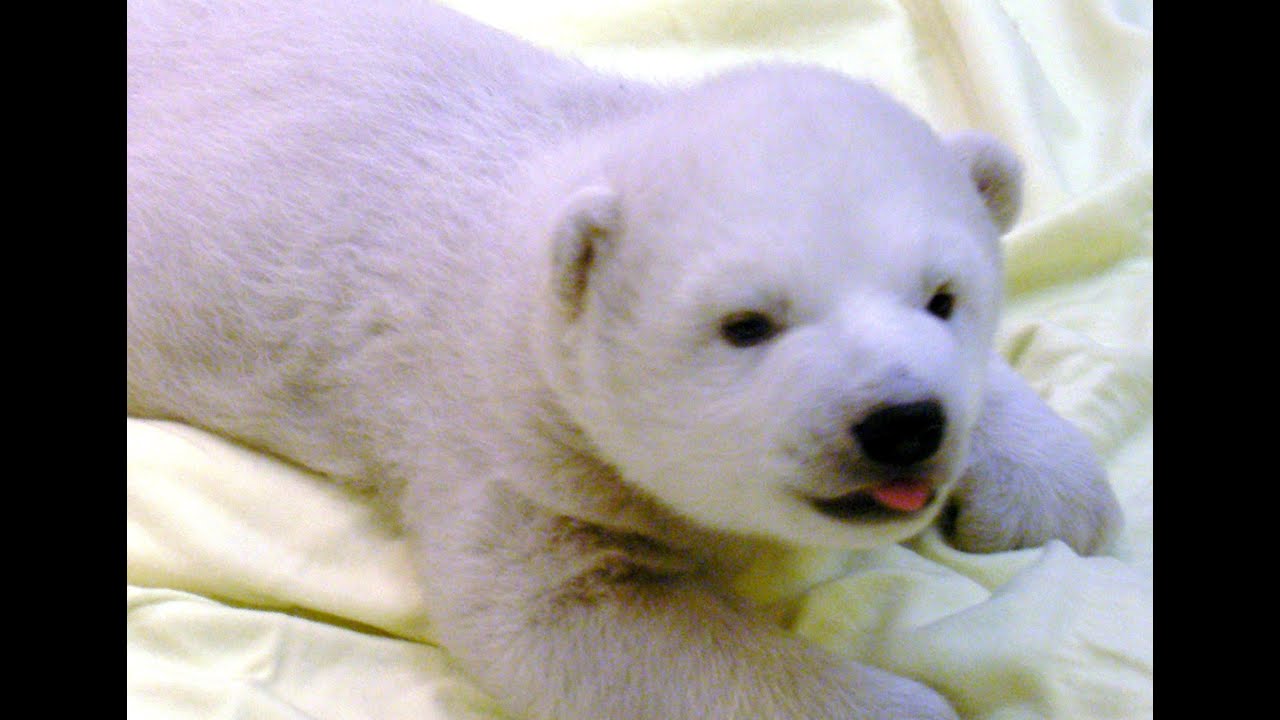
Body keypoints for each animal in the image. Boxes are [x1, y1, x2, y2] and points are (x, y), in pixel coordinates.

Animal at [127, 1, 1123, 718]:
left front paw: (1055, 496)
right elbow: (566, 619)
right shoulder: (501, 432)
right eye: (747, 324)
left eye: (943, 298)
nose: (903, 424)